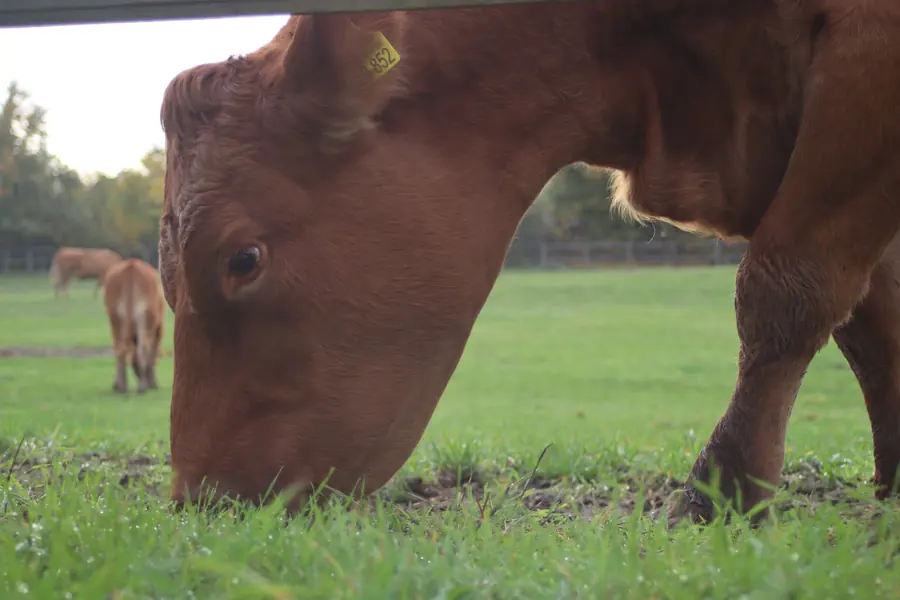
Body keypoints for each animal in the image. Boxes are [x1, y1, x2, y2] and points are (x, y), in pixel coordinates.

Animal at [102, 258, 166, 394]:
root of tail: (131, 265)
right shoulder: (159, 329)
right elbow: (153, 353)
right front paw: (153, 383)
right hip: (147, 317)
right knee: (144, 348)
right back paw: (142, 387)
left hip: (116, 319)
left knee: (120, 349)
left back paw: (122, 387)